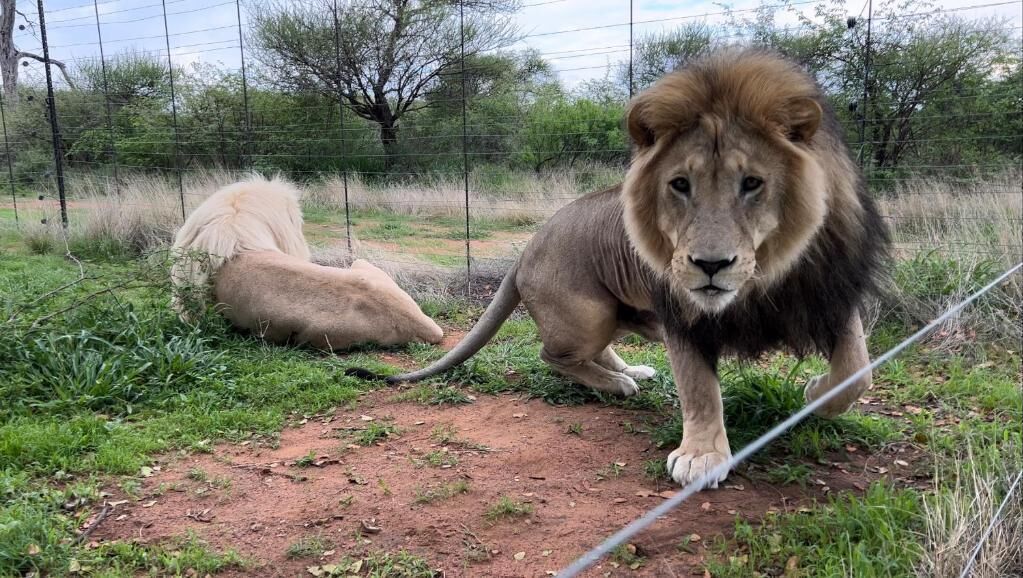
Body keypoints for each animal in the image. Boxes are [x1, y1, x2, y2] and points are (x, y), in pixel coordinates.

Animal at [373, 48, 889, 488]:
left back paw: (632, 370)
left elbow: (857, 369)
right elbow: (700, 390)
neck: (768, 275)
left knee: (591, 351)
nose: (711, 264)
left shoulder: (831, 293)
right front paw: (701, 457)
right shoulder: (683, 316)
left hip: (614, 313)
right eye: (679, 185)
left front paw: (817, 392)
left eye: (753, 183)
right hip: (589, 314)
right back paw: (618, 384)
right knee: (554, 355)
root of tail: (523, 252)